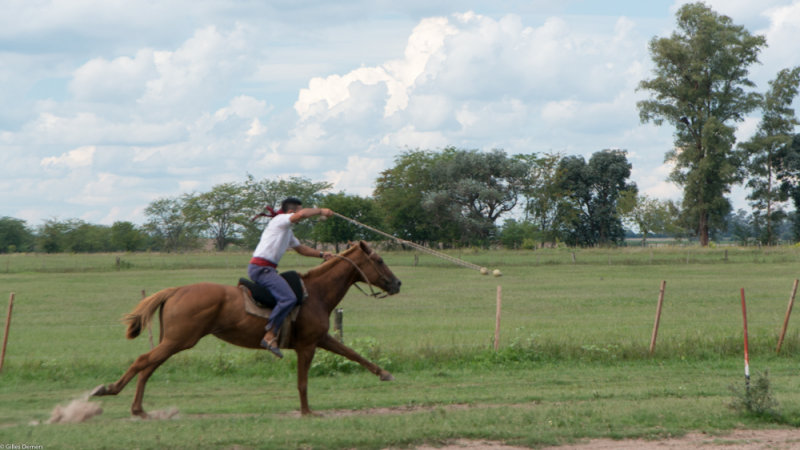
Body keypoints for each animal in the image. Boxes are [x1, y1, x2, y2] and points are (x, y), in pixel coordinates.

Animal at [92, 241, 400, 416]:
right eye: (380, 260)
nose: (397, 284)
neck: (316, 293)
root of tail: (176, 290)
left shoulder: (322, 339)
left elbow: (353, 353)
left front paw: (384, 373)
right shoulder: (308, 345)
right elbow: (303, 381)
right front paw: (307, 412)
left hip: (172, 342)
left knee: (148, 368)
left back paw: (137, 408)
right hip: (178, 340)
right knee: (143, 361)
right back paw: (109, 390)